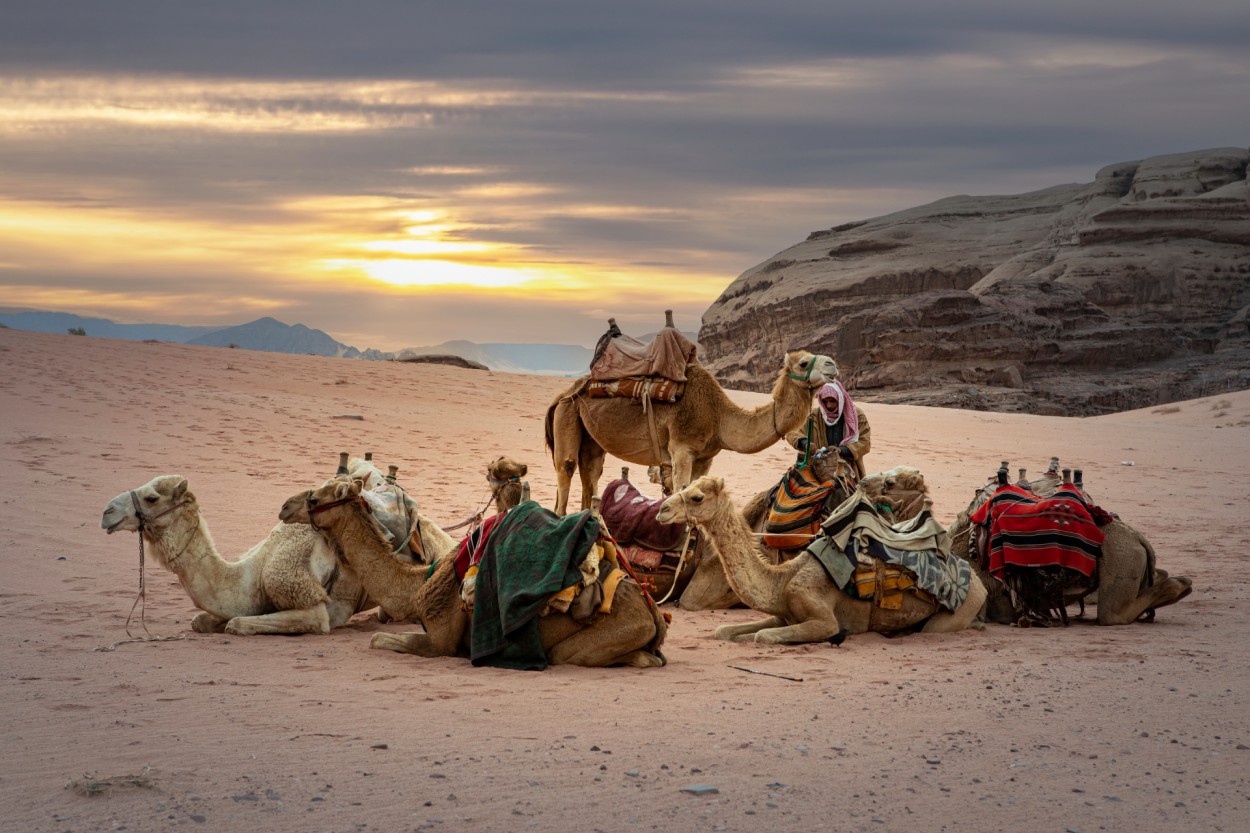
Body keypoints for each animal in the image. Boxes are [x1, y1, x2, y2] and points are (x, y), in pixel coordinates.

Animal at [100, 477, 372, 632]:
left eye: (151, 498)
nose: (107, 512)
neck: (253, 573)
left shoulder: (304, 593)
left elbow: (236, 623)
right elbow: (201, 621)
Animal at [273, 462, 665, 665]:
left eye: (314, 498)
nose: (285, 507)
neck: (417, 585)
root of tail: (654, 613)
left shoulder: (441, 641)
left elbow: (379, 639)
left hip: (602, 636)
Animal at [542, 345, 835, 512]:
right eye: (803, 363)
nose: (832, 365)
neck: (718, 416)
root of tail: (561, 395)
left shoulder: (706, 457)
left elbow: (696, 490)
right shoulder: (682, 448)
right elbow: (682, 488)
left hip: (590, 436)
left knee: (591, 473)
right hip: (568, 415)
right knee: (566, 470)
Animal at [655, 472, 985, 640]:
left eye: (697, 497)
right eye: (687, 486)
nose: (662, 509)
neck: (782, 580)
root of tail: (977, 581)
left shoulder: (824, 619)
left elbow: (766, 637)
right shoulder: (781, 614)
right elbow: (725, 630)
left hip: (959, 610)